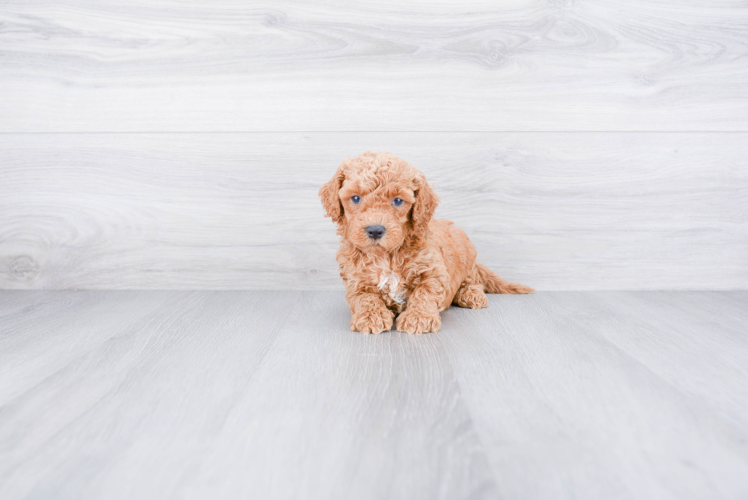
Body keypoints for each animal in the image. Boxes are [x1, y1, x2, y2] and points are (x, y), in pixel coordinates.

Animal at [316, 150, 532, 334]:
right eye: (355, 198)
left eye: (397, 201)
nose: (375, 230)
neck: (387, 255)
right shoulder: (356, 280)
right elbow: (364, 297)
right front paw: (371, 317)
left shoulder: (434, 271)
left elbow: (425, 293)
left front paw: (417, 318)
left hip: (467, 256)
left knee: (473, 280)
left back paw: (471, 294)